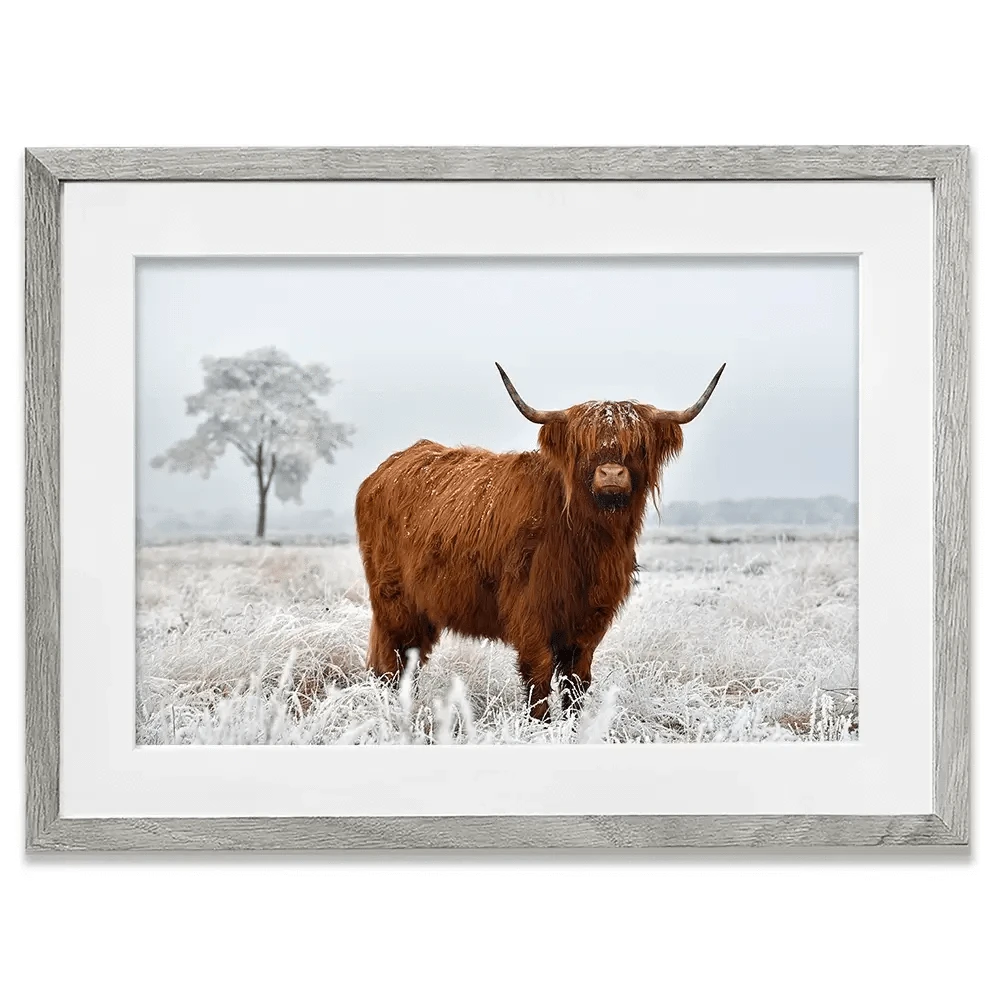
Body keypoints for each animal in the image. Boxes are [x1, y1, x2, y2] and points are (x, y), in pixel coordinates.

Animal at [355, 362, 725, 719]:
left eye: (638, 446)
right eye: (582, 445)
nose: (611, 474)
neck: (588, 541)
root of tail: (386, 469)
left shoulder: (591, 618)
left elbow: (577, 680)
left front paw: (575, 725)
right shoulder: (529, 610)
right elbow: (539, 674)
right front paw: (541, 725)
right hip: (395, 602)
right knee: (394, 661)